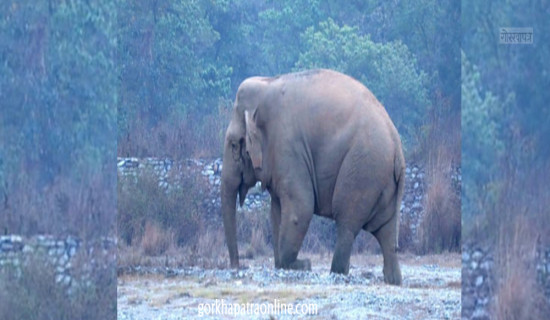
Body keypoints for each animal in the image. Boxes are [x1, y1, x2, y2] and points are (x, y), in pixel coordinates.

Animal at [222, 68, 408, 284]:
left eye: (234, 145)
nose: (237, 265)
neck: (266, 83)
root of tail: (397, 148)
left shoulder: (288, 146)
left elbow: (301, 207)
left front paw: (302, 264)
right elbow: (277, 211)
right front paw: (283, 264)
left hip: (363, 169)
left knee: (346, 224)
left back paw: (337, 271)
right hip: (382, 179)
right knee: (387, 234)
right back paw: (393, 280)